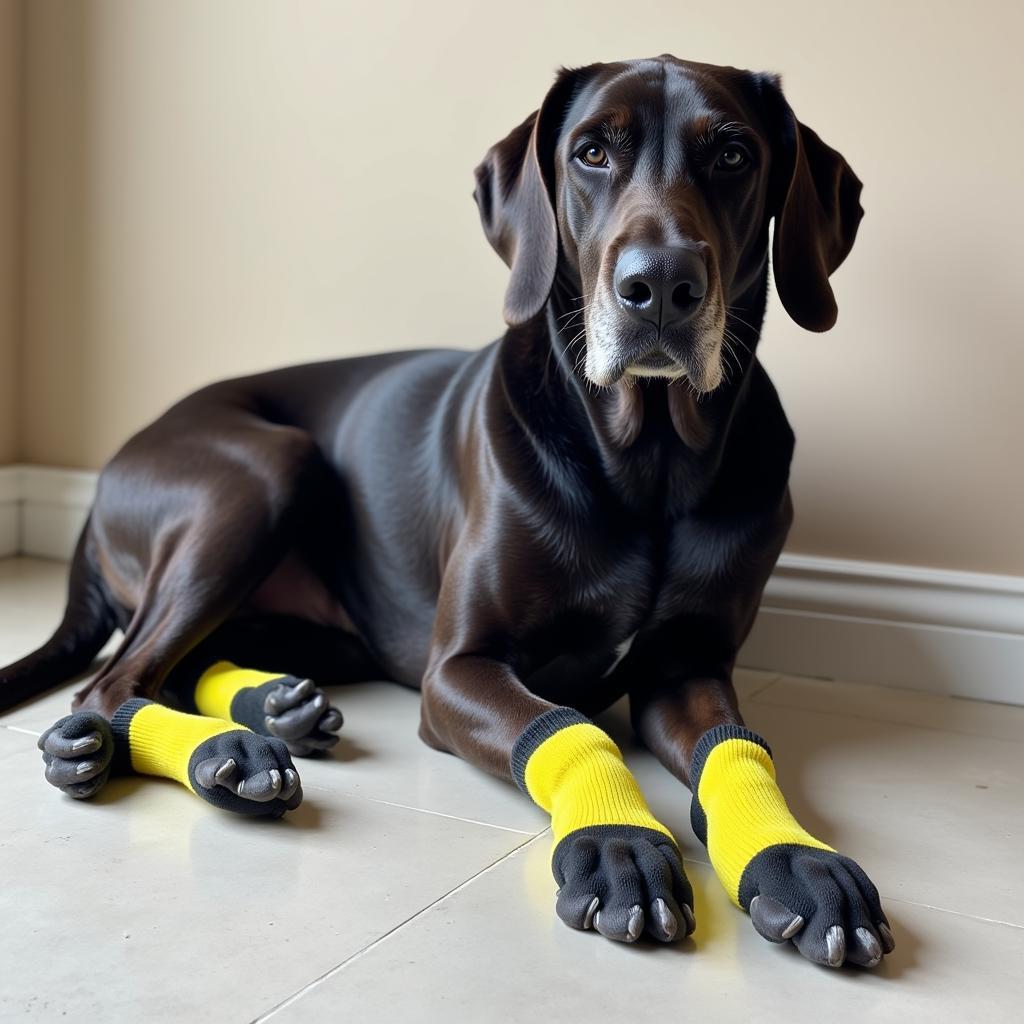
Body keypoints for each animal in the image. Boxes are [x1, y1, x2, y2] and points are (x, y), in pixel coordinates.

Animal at [0, 54, 892, 966]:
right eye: (591, 152)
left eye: (734, 156)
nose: (659, 287)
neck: (648, 464)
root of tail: (108, 473)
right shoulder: (458, 668)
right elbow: (570, 723)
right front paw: (615, 842)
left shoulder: (687, 669)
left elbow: (738, 749)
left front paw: (796, 858)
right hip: (261, 473)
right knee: (112, 683)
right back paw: (225, 749)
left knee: (182, 663)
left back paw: (274, 708)